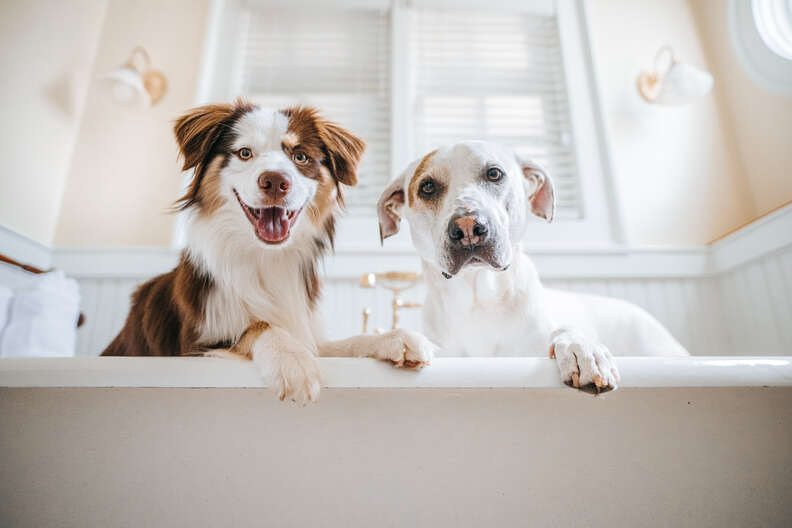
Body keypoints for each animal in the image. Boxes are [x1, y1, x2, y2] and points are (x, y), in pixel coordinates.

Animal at [103, 100, 436, 404]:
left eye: (300, 156)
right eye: (244, 153)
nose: (275, 181)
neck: (265, 257)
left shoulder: (307, 331)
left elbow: (343, 342)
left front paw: (394, 337)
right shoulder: (191, 347)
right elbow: (258, 325)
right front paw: (293, 361)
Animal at [378, 142, 688, 394]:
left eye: (494, 174)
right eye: (427, 187)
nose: (468, 227)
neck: (480, 298)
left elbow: (563, 331)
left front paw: (582, 349)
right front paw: (395, 340)